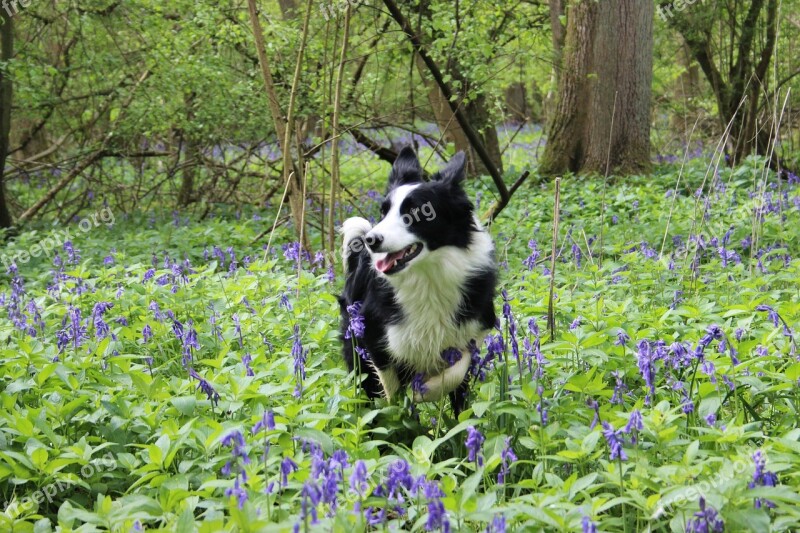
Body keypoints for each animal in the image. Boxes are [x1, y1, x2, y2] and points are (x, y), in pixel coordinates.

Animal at [336, 148, 494, 414]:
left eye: (415, 212)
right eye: (383, 212)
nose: (371, 240)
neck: (427, 277)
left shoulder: (476, 326)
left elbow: (456, 371)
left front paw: (425, 390)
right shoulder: (375, 336)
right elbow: (391, 390)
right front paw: (403, 408)